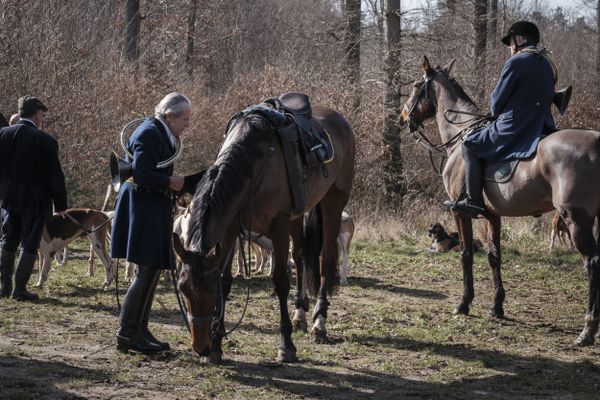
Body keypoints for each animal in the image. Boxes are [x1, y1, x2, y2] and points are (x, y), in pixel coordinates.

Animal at [171, 97, 354, 362]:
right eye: (183, 288)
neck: (254, 163)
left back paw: (319, 323)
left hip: (333, 203)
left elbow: (280, 281)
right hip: (297, 216)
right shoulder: (229, 228)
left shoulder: (278, 225)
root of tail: (339, 120)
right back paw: (300, 315)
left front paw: (286, 345)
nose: (200, 345)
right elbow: (227, 279)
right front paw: (217, 345)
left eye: (209, 288)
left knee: (326, 259)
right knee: (300, 256)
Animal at [400, 57, 600, 346]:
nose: (403, 117)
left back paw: (588, 330)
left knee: (592, 263)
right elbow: (494, 256)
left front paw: (464, 304)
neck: (462, 131)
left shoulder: (461, 213)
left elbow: (466, 254)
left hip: (576, 219)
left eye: (416, 86)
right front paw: (497, 306)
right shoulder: (492, 216)